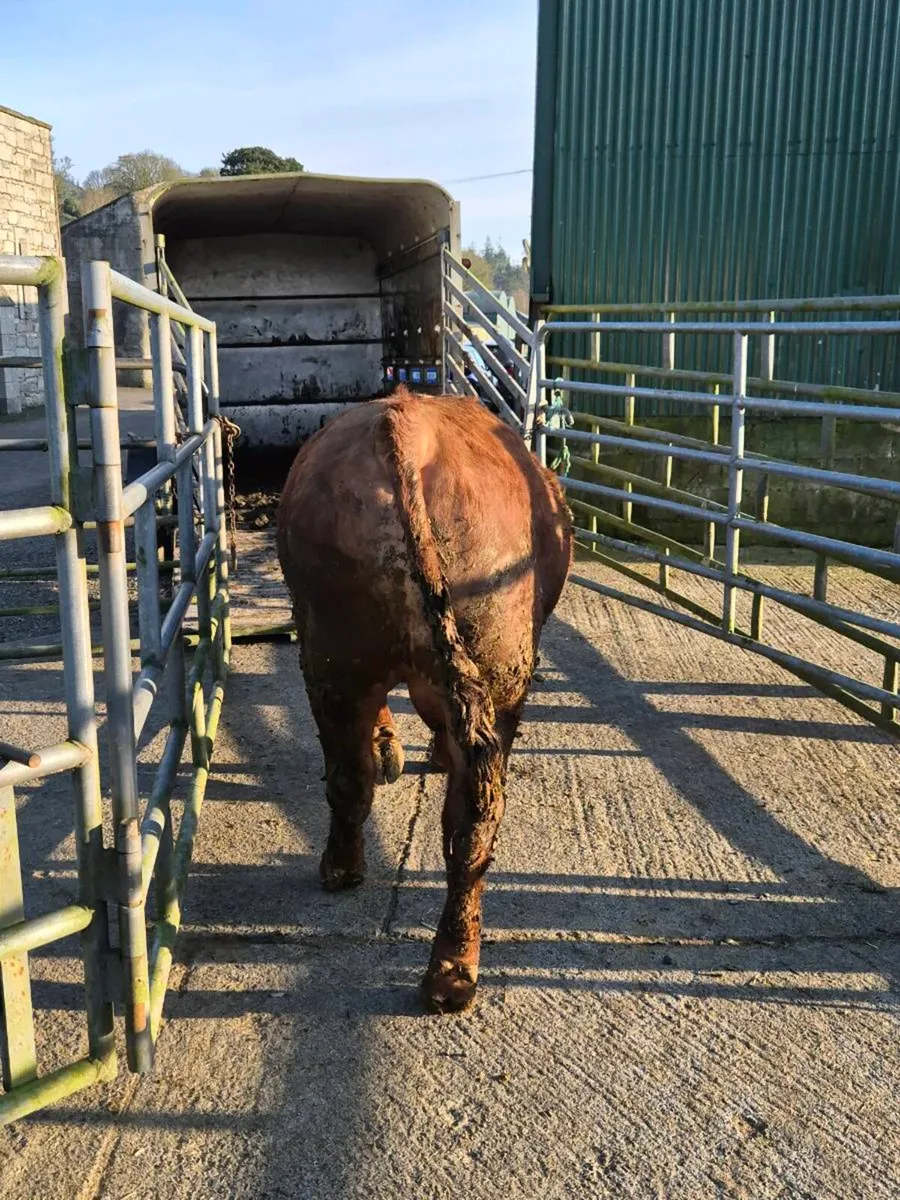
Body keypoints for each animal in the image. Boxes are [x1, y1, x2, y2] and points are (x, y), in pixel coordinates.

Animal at [277, 388, 572, 1012]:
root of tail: (404, 429)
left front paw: (393, 747)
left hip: (334, 657)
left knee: (352, 777)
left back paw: (345, 872)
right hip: (494, 670)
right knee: (474, 809)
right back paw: (452, 970)